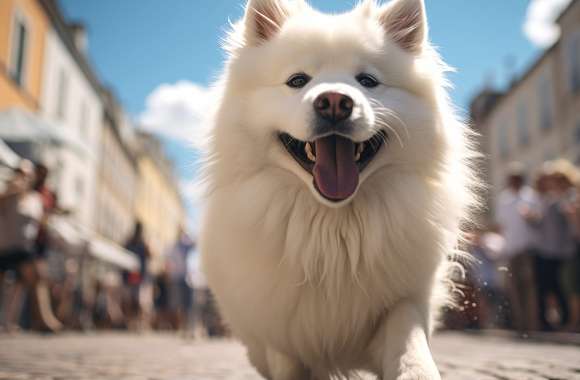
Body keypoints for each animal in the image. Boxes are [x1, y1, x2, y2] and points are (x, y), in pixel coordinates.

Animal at [199, 0, 476, 378]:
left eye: (368, 81)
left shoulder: (403, 299)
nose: (334, 101)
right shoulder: (279, 334)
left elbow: (408, 341)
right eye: (298, 81)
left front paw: (416, 369)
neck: (333, 235)